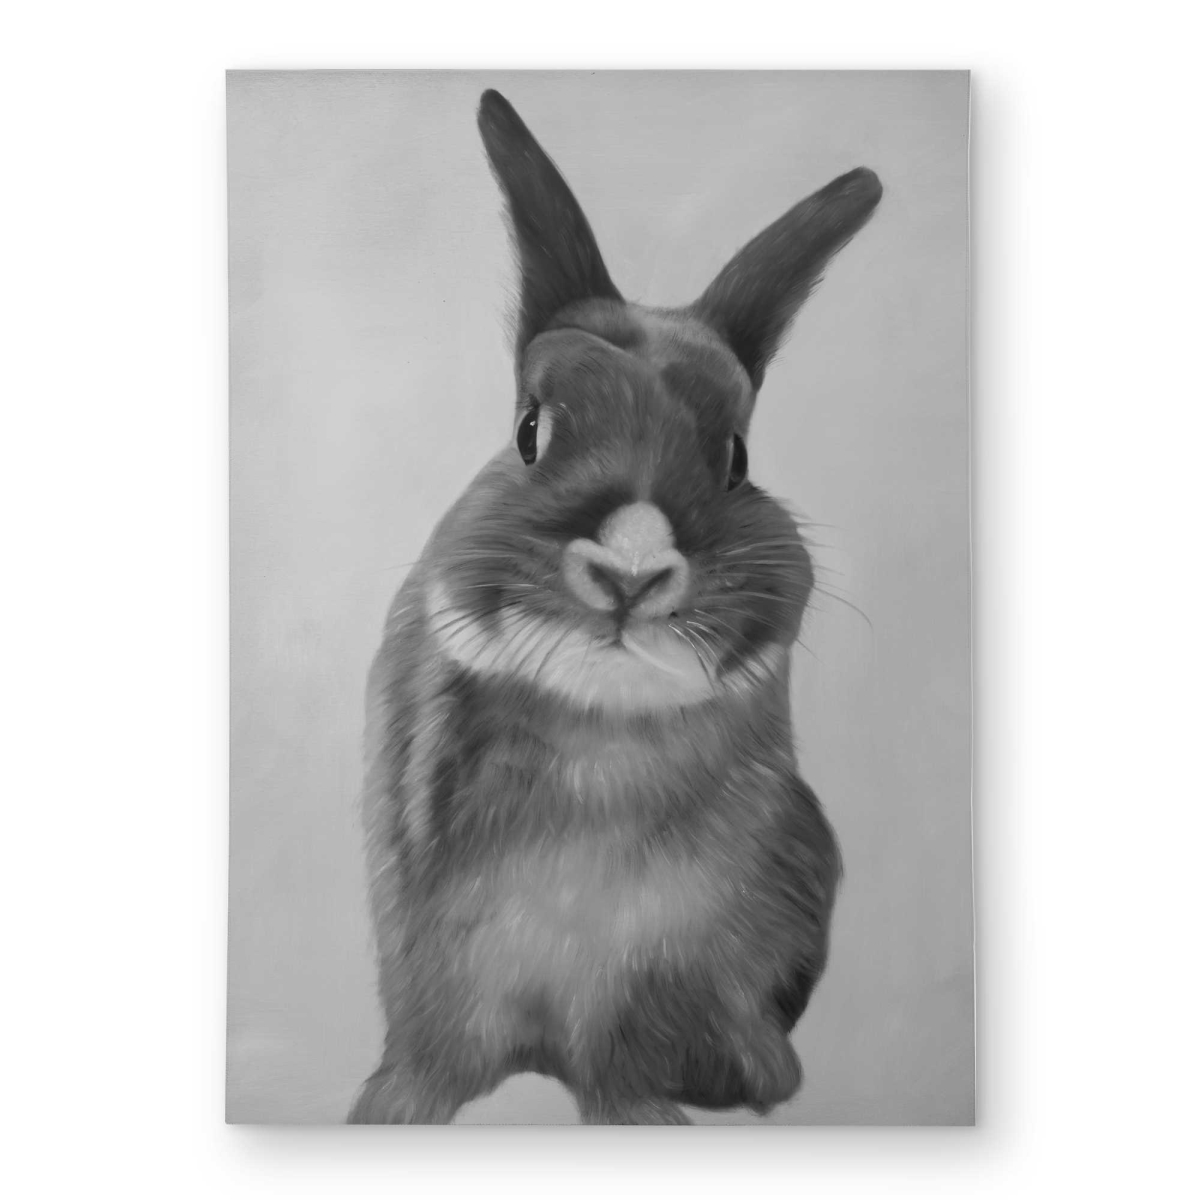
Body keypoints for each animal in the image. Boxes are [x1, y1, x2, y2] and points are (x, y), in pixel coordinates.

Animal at [349, 88, 882, 1126]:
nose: (632, 571)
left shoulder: (645, 982)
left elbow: (619, 1065)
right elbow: (435, 1052)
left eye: (736, 459)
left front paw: (645, 1118)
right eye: (530, 430)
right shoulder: (431, 957)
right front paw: (391, 1110)